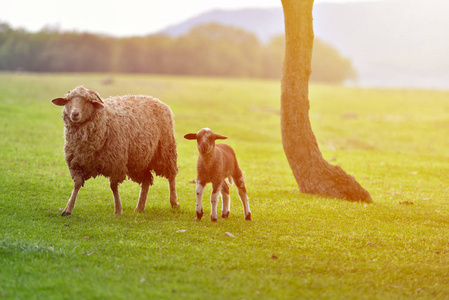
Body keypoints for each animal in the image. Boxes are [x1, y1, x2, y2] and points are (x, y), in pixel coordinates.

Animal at [51, 85, 178, 216]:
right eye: (68, 100)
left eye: (87, 101)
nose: (75, 114)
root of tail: (156, 100)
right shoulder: (77, 163)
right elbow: (77, 184)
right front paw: (68, 209)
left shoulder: (115, 163)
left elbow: (113, 186)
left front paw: (118, 209)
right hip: (138, 160)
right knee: (146, 180)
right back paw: (139, 207)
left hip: (165, 150)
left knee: (171, 176)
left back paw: (174, 202)